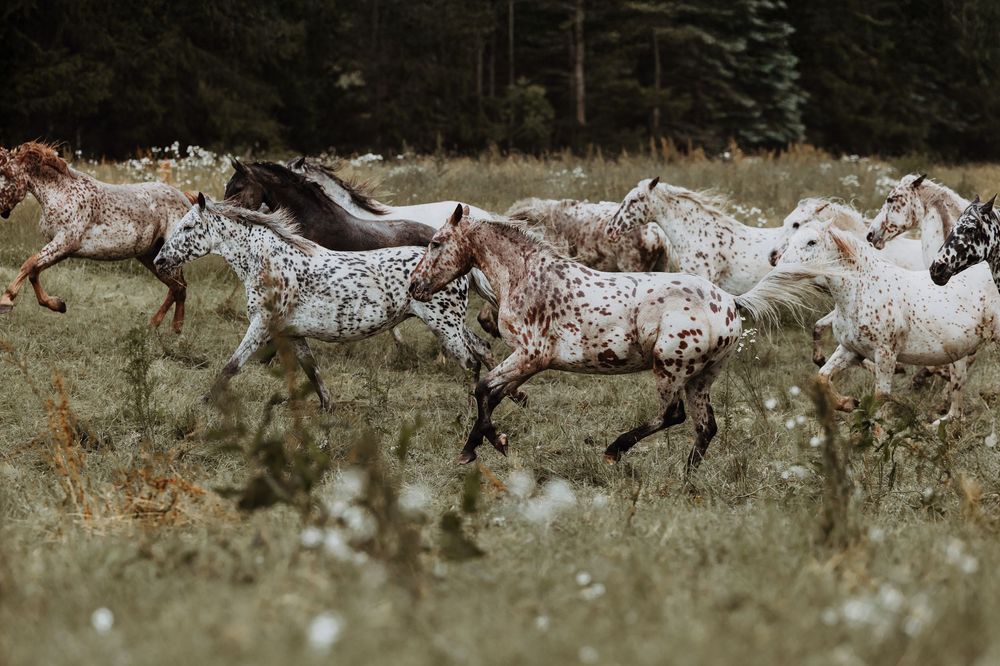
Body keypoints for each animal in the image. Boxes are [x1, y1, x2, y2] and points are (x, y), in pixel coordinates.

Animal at [0, 142, 190, 331]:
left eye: (5, 177)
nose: (2, 212)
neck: (61, 193)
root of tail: (187, 200)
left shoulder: (64, 243)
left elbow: (28, 264)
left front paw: (6, 301)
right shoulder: (62, 250)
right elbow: (33, 271)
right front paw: (58, 305)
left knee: (178, 288)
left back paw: (170, 330)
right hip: (151, 256)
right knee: (177, 287)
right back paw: (163, 328)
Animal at [153, 194, 495, 410]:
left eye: (188, 227)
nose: (159, 260)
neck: (268, 261)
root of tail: (464, 269)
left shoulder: (262, 325)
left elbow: (232, 366)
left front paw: (204, 402)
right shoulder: (292, 332)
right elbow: (312, 371)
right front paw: (328, 408)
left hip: (444, 326)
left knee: (470, 362)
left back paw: (470, 414)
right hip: (451, 325)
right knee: (483, 349)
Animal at [779, 222, 1000, 421]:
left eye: (812, 242)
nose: (783, 268)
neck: (861, 291)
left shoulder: (885, 354)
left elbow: (880, 398)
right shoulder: (851, 350)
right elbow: (822, 377)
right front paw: (849, 403)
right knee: (956, 406)